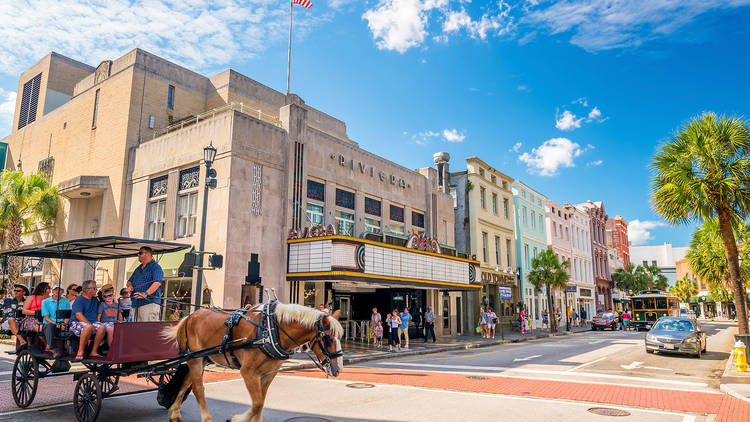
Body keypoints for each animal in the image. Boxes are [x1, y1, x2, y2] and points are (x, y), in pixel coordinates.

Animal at [163, 302, 346, 422]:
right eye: (328, 338)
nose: (338, 369)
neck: (271, 330)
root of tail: (188, 317)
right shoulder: (249, 372)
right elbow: (257, 403)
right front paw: (236, 419)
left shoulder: (268, 373)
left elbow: (261, 402)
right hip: (195, 359)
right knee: (198, 388)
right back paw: (206, 418)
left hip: (202, 359)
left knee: (187, 382)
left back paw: (175, 412)